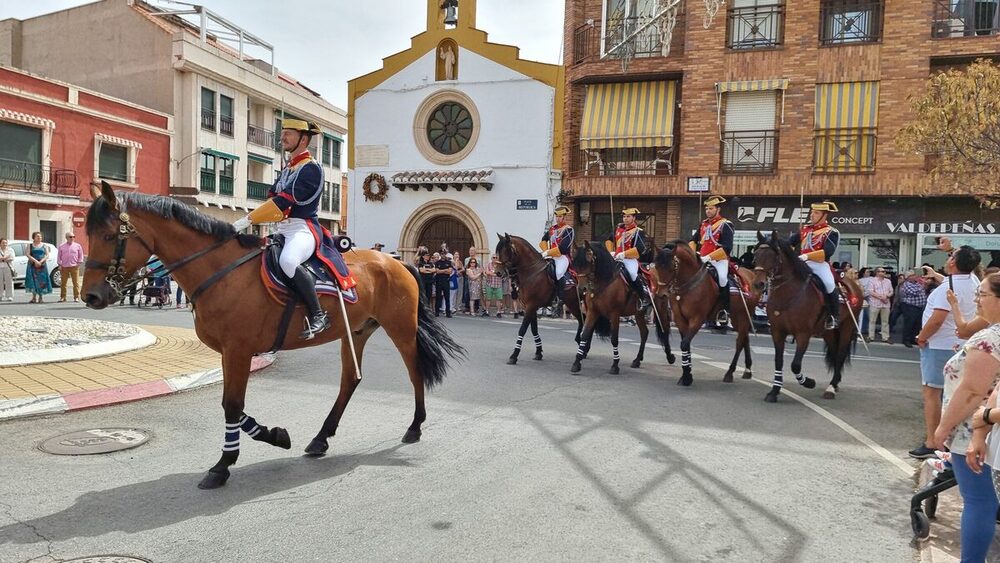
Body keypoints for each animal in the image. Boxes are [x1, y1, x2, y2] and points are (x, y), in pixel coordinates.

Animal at [82, 184, 464, 490]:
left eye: (109, 236)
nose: (91, 296)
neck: (220, 271)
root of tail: (396, 261)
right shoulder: (229, 353)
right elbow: (234, 407)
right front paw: (276, 437)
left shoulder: (238, 350)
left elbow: (232, 405)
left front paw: (223, 465)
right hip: (355, 332)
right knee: (349, 380)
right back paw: (320, 438)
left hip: (401, 328)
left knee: (414, 371)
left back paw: (414, 426)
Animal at [494, 234, 584, 366]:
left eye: (506, 251)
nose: (498, 272)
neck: (532, 272)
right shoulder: (530, 307)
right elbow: (534, 329)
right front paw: (538, 352)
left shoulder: (531, 306)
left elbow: (522, 330)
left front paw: (514, 355)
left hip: (574, 304)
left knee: (583, 321)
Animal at [568, 239, 676, 374]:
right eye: (575, 264)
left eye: (590, 261)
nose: (581, 289)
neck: (604, 281)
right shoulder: (592, 312)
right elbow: (585, 334)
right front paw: (577, 362)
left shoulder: (614, 314)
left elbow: (614, 338)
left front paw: (615, 365)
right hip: (638, 312)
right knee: (644, 332)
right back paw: (637, 360)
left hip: (660, 308)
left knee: (664, 329)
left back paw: (670, 356)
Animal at [648, 242, 756, 388]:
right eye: (657, 266)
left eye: (672, 267)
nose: (661, 294)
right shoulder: (681, 319)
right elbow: (685, 344)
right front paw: (686, 374)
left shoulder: (697, 319)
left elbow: (684, 344)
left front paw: (687, 377)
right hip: (737, 318)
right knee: (745, 339)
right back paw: (747, 370)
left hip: (743, 316)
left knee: (739, 342)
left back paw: (730, 372)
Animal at [752, 231, 864, 404]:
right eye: (756, 255)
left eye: (773, 256)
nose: (758, 284)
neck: (789, 294)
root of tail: (853, 283)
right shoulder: (777, 332)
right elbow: (778, 361)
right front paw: (774, 391)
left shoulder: (803, 334)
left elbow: (795, 364)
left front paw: (809, 382)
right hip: (828, 332)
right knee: (834, 351)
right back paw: (835, 383)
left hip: (847, 327)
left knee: (839, 354)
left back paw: (831, 387)